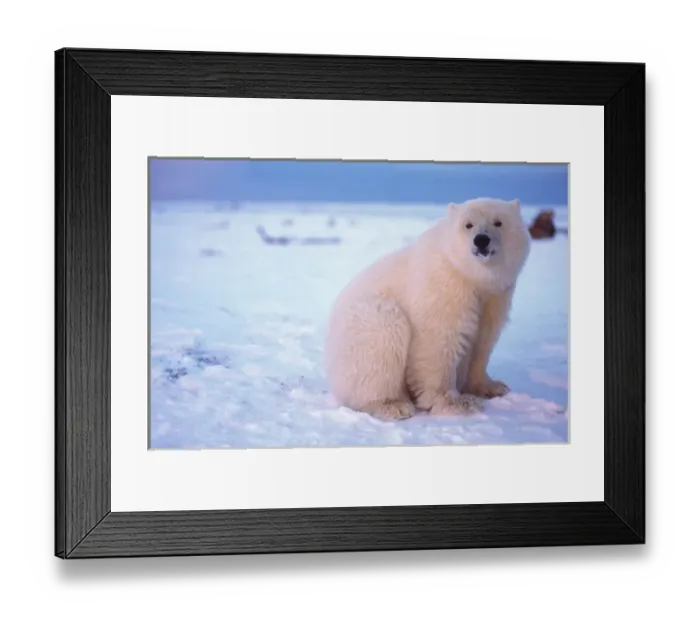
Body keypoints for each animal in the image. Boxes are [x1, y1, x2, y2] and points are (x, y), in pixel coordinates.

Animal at [323, 197, 531, 421]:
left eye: (498, 222)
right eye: (468, 224)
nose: (481, 240)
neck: (471, 277)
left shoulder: (495, 297)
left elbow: (483, 341)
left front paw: (493, 387)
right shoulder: (443, 286)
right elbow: (438, 341)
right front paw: (457, 403)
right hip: (363, 329)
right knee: (384, 334)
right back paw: (392, 405)